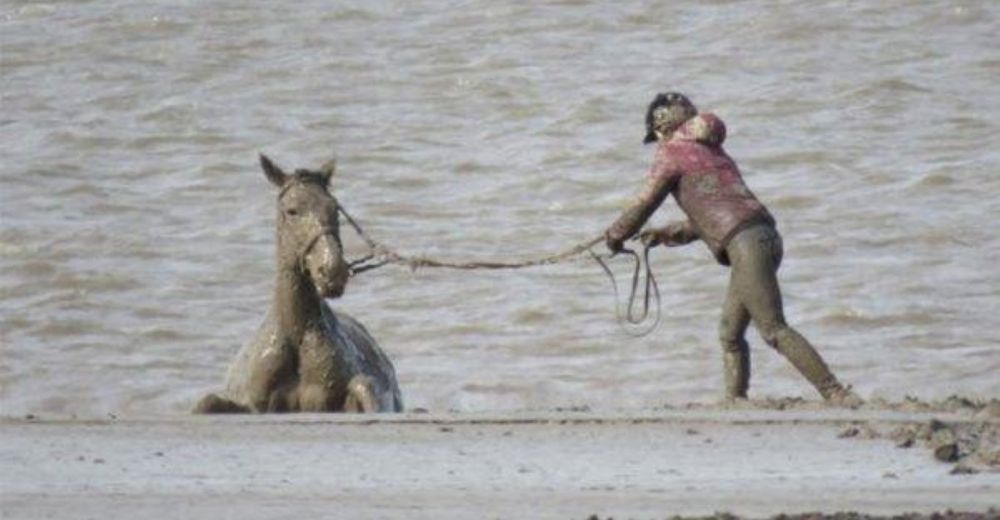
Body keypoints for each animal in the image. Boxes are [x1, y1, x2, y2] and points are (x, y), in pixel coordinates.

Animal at [192, 154, 402, 414]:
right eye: (292, 211)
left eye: (334, 209)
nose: (332, 270)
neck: (297, 335)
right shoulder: (254, 405)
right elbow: (207, 402)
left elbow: (363, 386)